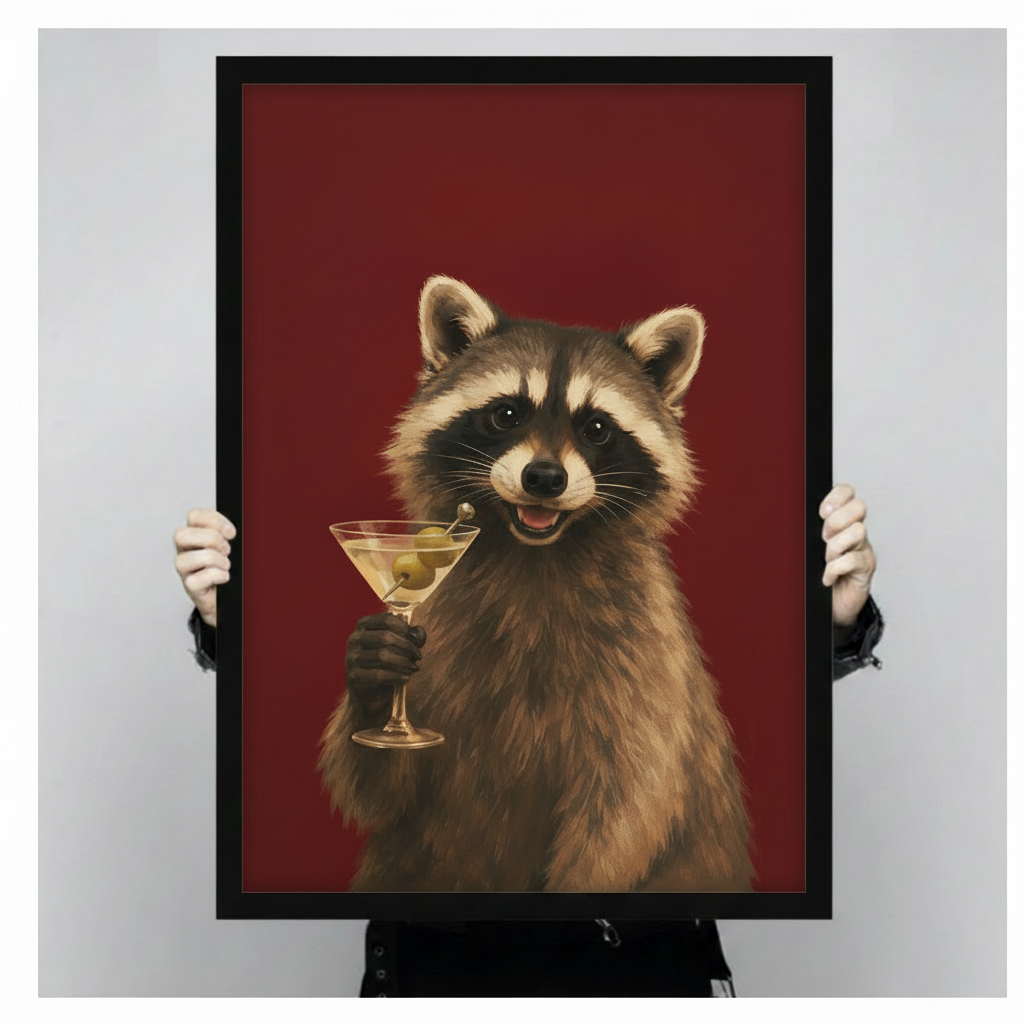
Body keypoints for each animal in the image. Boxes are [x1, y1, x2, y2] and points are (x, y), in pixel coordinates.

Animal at [318, 276, 753, 893]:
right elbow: (380, 791)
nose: (544, 478)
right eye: (505, 414)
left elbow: (629, 805)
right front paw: (374, 677)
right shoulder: (439, 634)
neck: (535, 554)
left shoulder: (647, 662)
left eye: (596, 428)